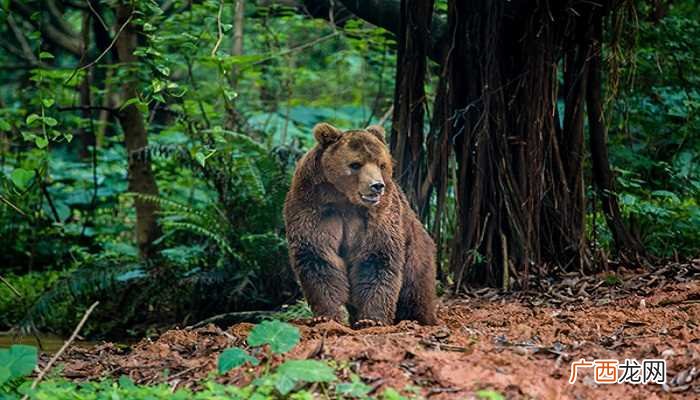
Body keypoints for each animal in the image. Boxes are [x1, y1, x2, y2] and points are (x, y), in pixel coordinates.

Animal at [283, 122, 438, 329]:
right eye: (355, 164)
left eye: (381, 164)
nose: (377, 186)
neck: (343, 198)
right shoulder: (313, 207)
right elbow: (318, 257)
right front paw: (325, 316)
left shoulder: (379, 215)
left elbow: (377, 259)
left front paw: (371, 319)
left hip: (416, 252)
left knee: (415, 291)